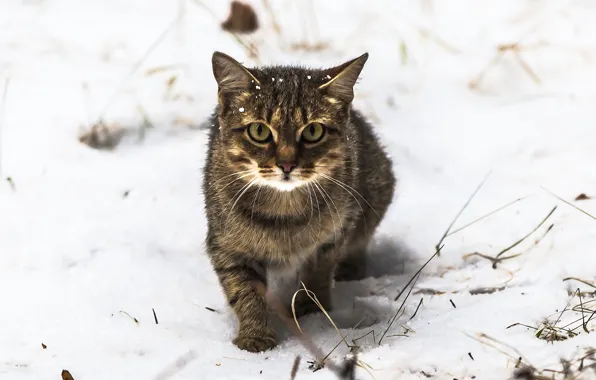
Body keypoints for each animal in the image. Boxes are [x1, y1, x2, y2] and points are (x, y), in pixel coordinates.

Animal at [204, 51, 396, 354]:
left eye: (313, 131)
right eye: (259, 131)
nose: (286, 164)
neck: (285, 211)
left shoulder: (335, 234)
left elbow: (317, 274)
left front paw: (313, 311)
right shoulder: (226, 247)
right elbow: (245, 291)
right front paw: (255, 336)